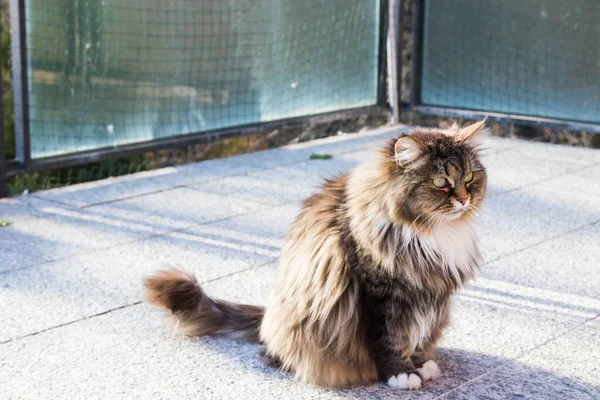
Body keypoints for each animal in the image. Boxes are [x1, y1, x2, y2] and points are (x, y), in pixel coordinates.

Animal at [144, 119, 488, 390]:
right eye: (441, 182)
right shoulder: (380, 293)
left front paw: (420, 364)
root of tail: (268, 316)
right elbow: (389, 339)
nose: (464, 199)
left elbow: (417, 335)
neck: (431, 233)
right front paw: (401, 374)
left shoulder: (428, 293)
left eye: (470, 178)